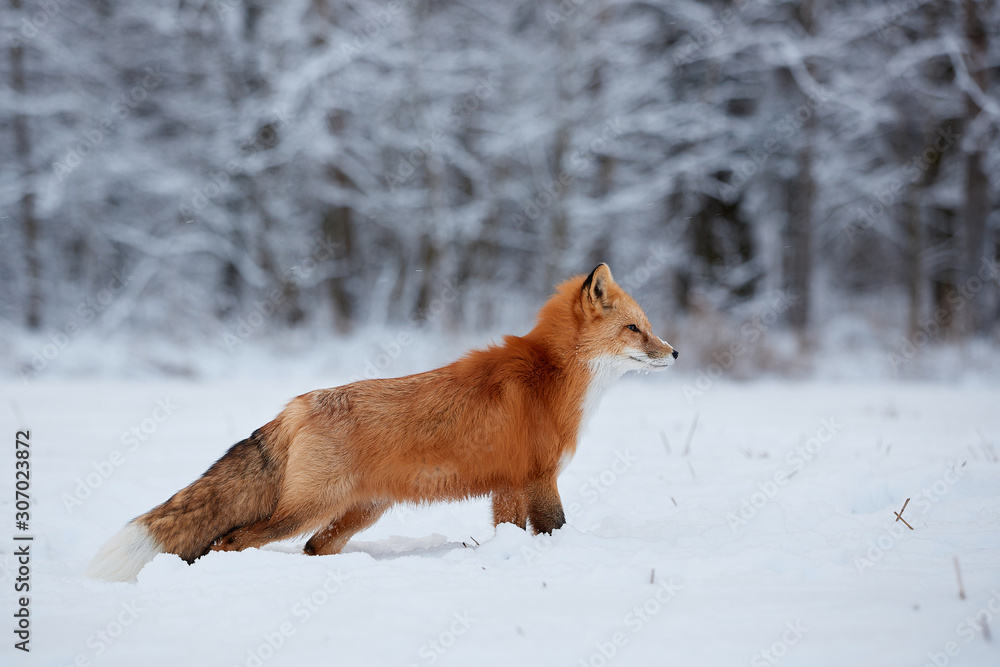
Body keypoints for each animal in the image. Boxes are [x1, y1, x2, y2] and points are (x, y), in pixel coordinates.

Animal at [86, 263, 677, 582]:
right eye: (635, 329)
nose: (675, 353)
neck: (551, 376)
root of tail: (297, 404)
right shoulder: (538, 477)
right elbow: (555, 527)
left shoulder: (508, 485)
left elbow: (509, 532)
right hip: (307, 509)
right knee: (232, 540)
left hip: (359, 512)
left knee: (312, 548)